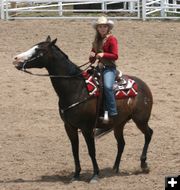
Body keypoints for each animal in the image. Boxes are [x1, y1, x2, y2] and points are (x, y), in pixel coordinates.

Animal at [12, 35, 153, 183]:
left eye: (38, 50)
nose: (16, 58)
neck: (76, 88)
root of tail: (144, 85)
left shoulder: (87, 128)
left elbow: (91, 151)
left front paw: (95, 175)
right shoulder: (69, 126)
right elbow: (75, 150)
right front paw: (76, 175)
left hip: (141, 120)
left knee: (148, 134)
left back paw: (144, 165)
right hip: (119, 123)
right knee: (121, 143)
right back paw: (115, 168)